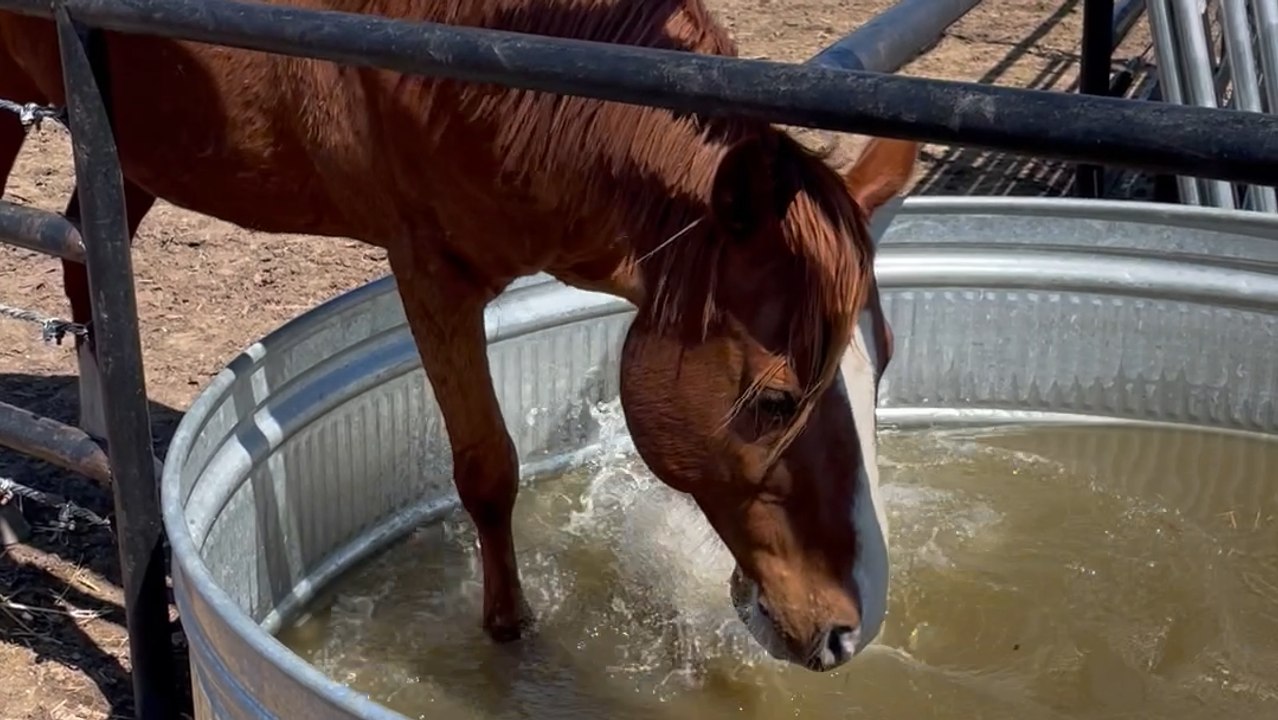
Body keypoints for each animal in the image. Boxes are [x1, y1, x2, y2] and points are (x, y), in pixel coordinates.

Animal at [0, 0, 917, 671]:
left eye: (883, 366)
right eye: (776, 400)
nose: (851, 628)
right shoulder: (430, 274)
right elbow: (487, 470)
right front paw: (509, 636)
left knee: (86, 264)